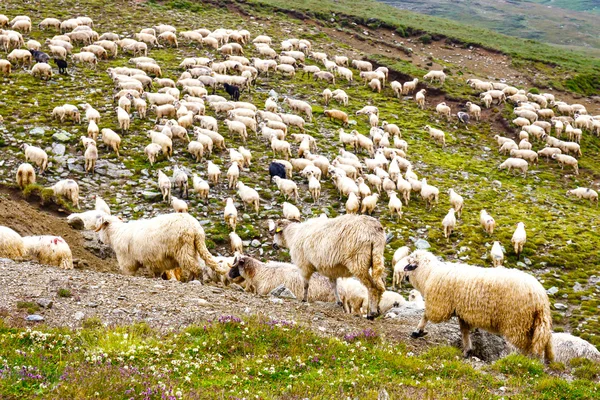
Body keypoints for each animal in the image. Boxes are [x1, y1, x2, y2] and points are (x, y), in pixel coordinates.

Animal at [96, 212, 225, 282]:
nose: (100, 240)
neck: (115, 233)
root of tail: (195, 228)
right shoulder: (155, 262)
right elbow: (157, 273)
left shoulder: (127, 262)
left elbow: (128, 273)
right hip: (194, 249)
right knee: (199, 265)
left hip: (183, 248)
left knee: (195, 267)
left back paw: (193, 281)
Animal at [404, 248, 552, 360]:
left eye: (409, 265)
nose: (404, 277)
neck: (429, 273)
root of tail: (540, 297)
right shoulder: (462, 312)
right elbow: (464, 331)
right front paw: (467, 350)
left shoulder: (439, 305)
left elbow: (426, 315)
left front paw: (417, 331)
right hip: (531, 324)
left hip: (516, 322)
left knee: (519, 346)